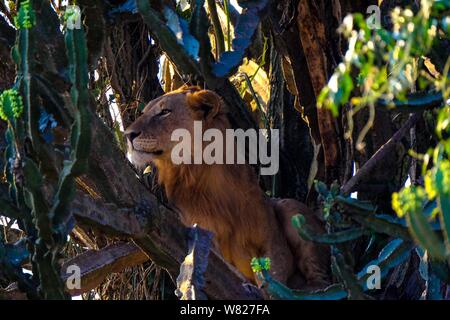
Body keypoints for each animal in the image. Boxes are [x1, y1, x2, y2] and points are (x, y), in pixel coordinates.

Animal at [125, 86, 328, 288]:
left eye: (165, 112)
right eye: (143, 113)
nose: (128, 135)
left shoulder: (274, 243)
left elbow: (273, 278)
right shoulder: (205, 240)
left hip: (289, 206)